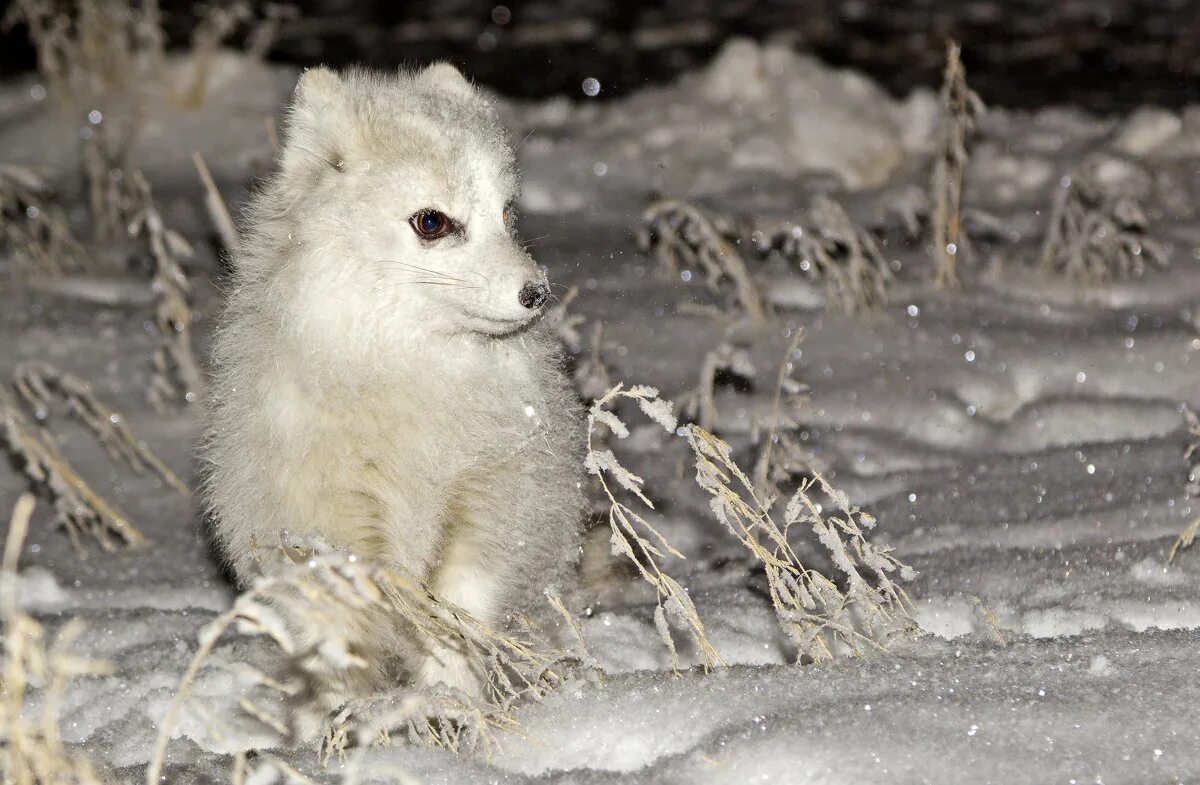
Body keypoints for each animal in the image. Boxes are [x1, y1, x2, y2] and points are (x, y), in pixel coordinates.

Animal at [202, 64, 585, 715]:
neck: (409, 366)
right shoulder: (331, 521)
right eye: (432, 222)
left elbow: (458, 610)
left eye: (508, 213)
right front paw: (360, 715)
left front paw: (448, 702)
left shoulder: (488, 499)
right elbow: (355, 622)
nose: (536, 293)